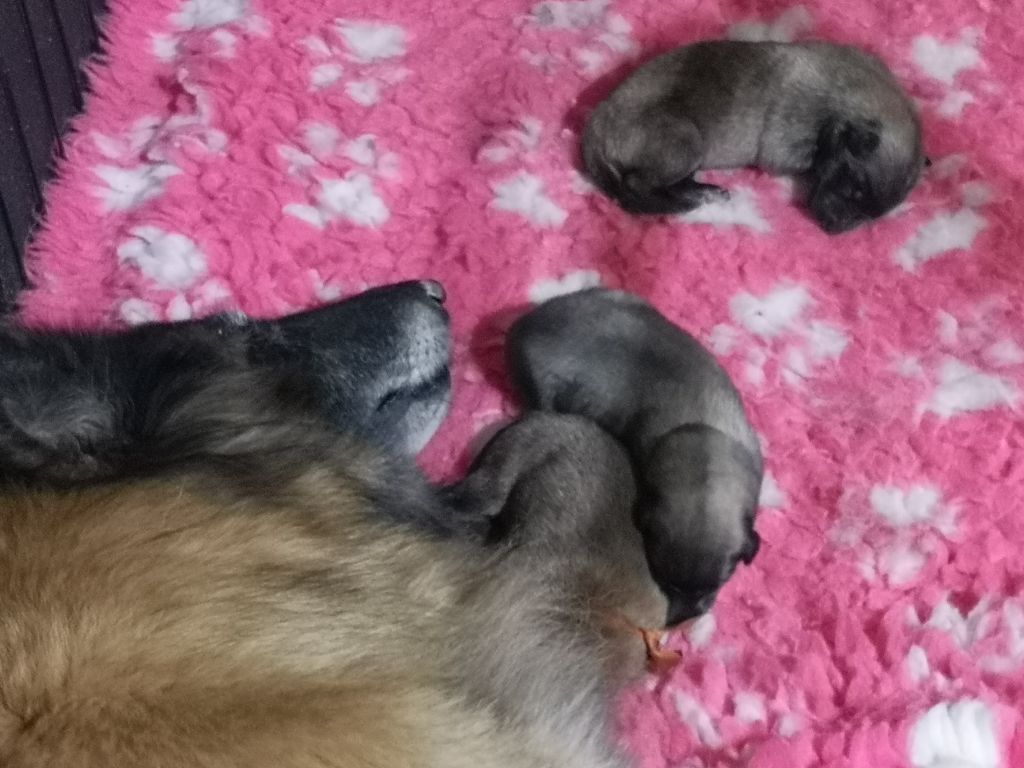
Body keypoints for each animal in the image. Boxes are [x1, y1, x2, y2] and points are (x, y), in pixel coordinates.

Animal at [507, 286, 765, 626]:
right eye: (665, 581)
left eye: (717, 584)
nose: (679, 621)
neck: (702, 441)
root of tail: (523, 325)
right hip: (547, 394)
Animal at [585, 39, 929, 231]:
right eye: (852, 189)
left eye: (871, 215)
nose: (832, 230)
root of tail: (598, 122)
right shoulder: (787, 144)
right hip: (685, 142)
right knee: (636, 184)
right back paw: (683, 201)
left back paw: (704, 192)